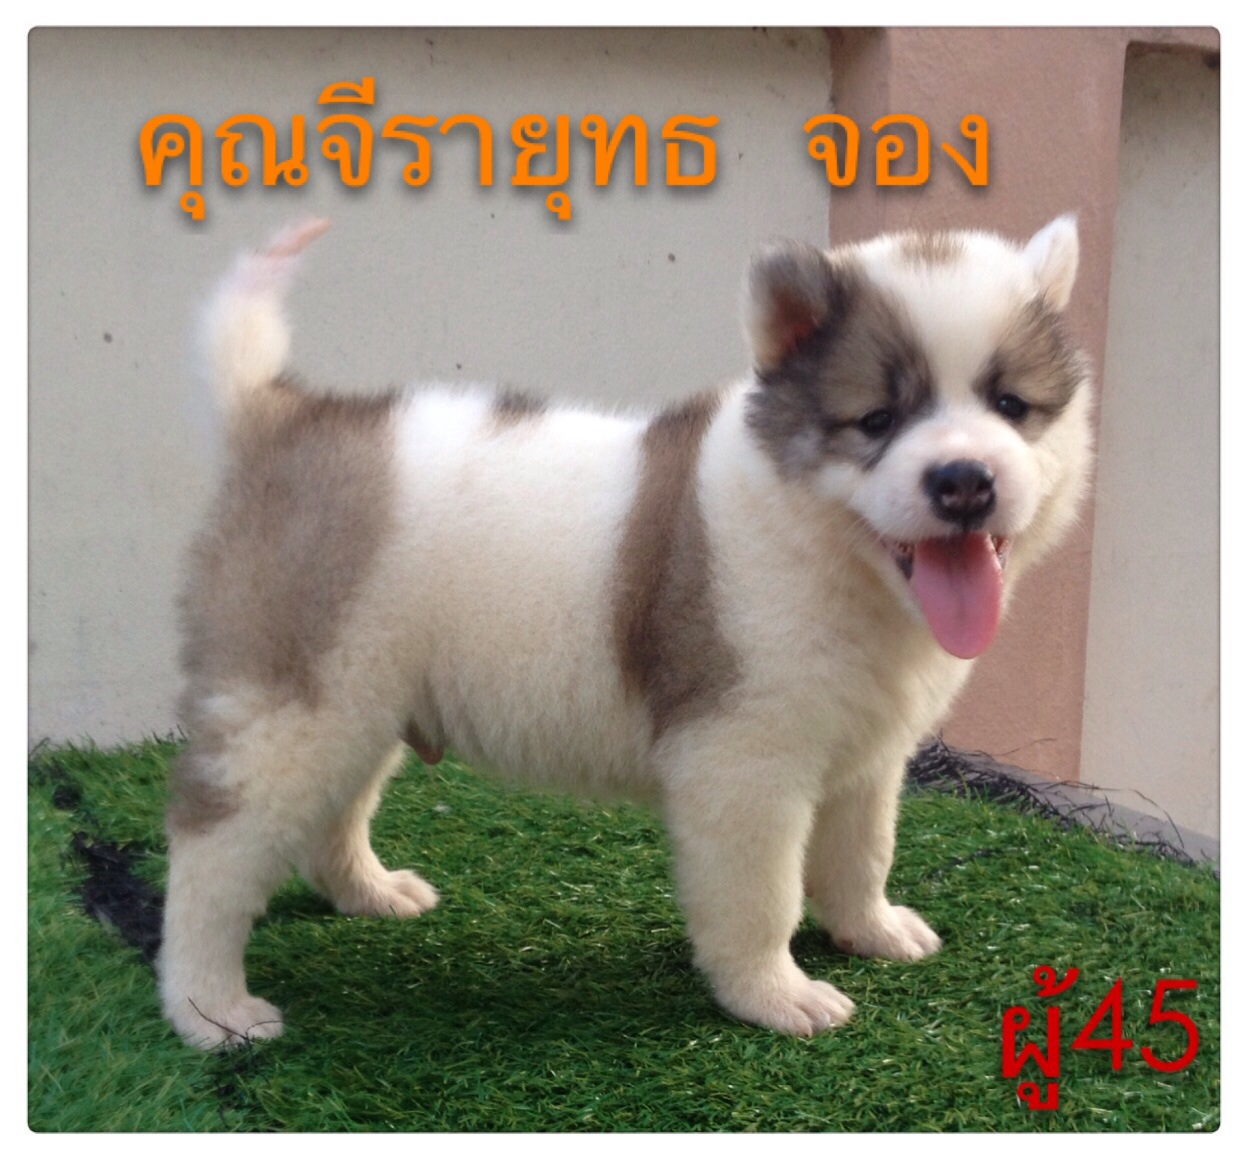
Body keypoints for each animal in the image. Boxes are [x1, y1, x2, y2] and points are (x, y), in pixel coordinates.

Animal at [159, 216, 1092, 1048]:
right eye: (877, 421)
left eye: (1011, 405)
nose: (965, 481)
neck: (824, 549)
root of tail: (276, 412)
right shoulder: (741, 764)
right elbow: (763, 894)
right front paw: (774, 993)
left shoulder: (866, 755)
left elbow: (862, 852)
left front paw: (874, 929)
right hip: (293, 705)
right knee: (212, 851)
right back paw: (211, 1010)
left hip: (360, 695)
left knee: (334, 808)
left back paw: (369, 892)